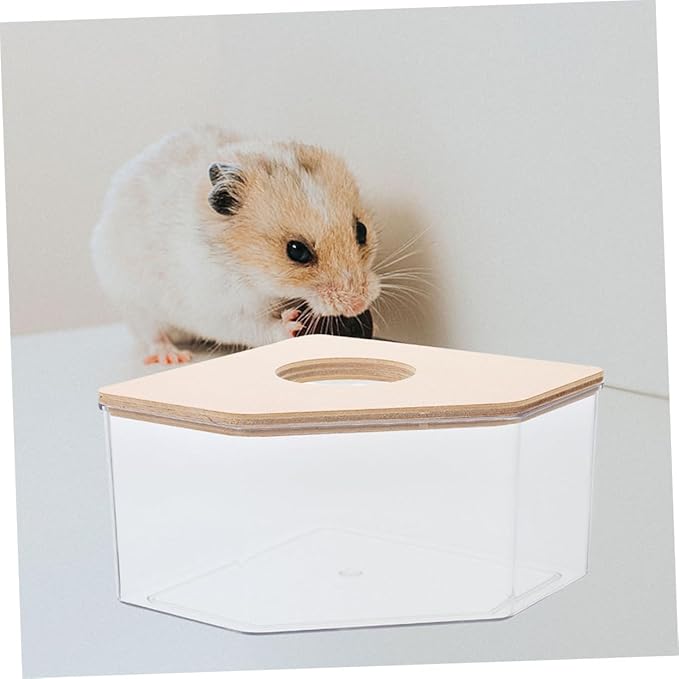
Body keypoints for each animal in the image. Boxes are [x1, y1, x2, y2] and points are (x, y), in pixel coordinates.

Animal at [91, 126, 381, 364]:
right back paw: (173, 356)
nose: (357, 305)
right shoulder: (219, 309)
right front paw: (291, 326)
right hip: (133, 302)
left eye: (362, 231)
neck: (249, 269)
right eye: (296, 251)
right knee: (152, 333)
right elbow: (255, 326)